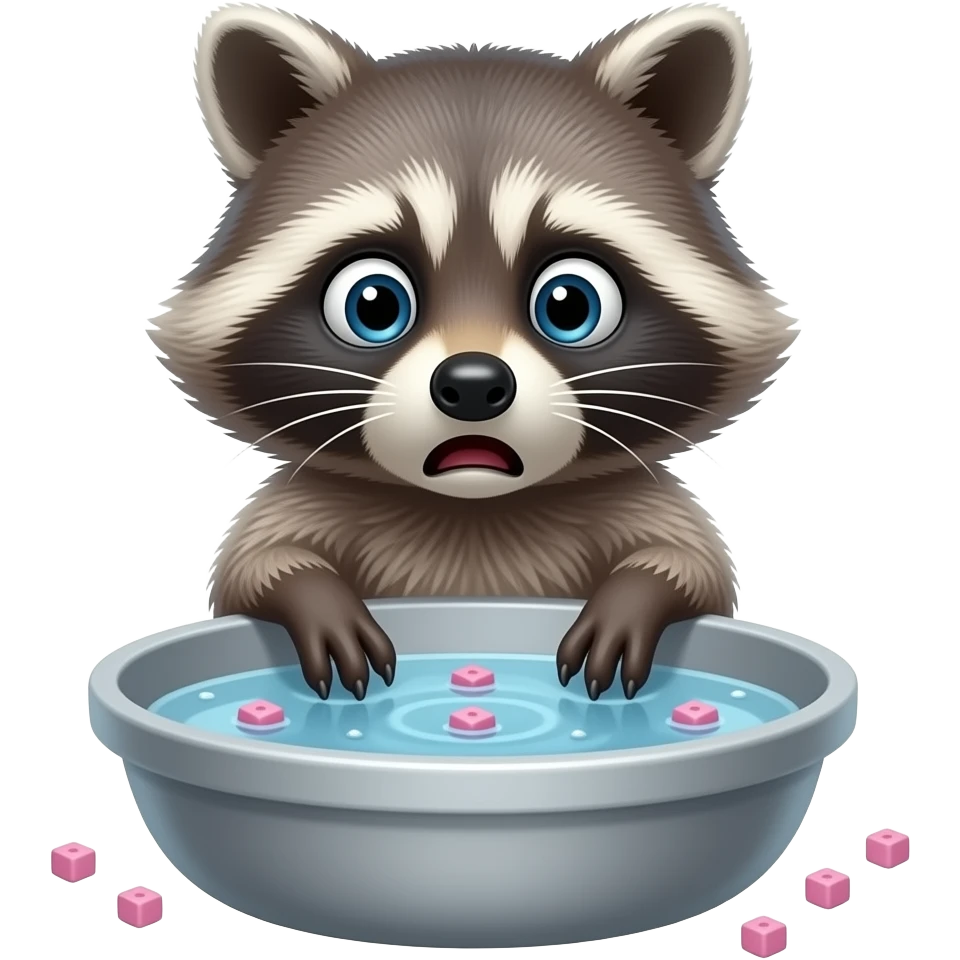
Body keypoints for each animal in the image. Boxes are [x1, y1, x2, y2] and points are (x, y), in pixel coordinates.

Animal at [150, 3, 796, 702]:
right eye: (373, 304)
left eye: (570, 304)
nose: (473, 384)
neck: (473, 507)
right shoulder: (308, 499)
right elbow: (256, 561)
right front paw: (310, 593)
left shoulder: (638, 499)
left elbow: (691, 562)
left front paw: (638, 593)